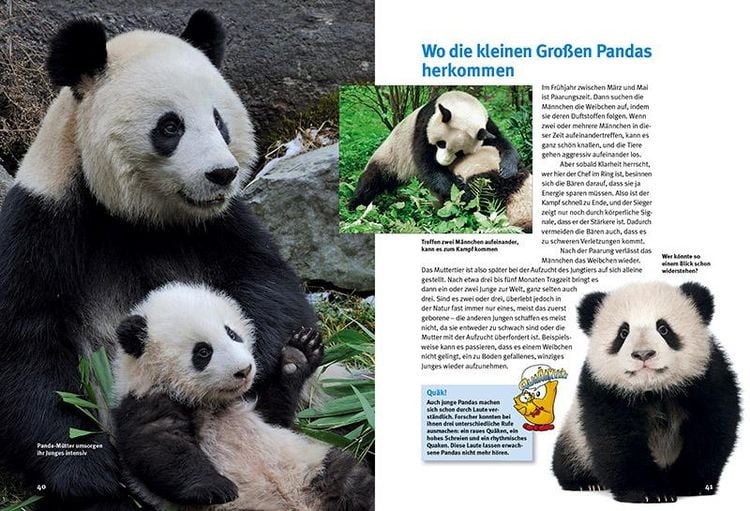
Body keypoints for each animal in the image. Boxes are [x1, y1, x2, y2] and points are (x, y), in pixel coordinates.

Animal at [0, 12, 317, 511]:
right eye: (171, 127)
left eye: (219, 121)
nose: (222, 173)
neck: (135, 215)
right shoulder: (43, 220)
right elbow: (26, 344)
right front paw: (86, 474)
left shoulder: (222, 222)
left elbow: (271, 285)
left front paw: (257, 361)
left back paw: (290, 370)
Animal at [113, 282, 374, 511]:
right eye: (203, 351)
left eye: (232, 334)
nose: (245, 370)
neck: (210, 402)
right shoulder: (146, 399)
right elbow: (161, 446)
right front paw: (216, 487)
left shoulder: (253, 405)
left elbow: (277, 415)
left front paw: (298, 354)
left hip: (314, 467)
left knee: (353, 482)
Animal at [347, 90, 520, 209]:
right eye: (441, 143)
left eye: (460, 152)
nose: (443, 162)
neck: (462, 104)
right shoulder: (424, 125)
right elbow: (429, 167)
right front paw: (467, 193)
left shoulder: (485, 124)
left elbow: (498, 140)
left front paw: (508, 169)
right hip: (390, 157)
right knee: (371, 181)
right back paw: (354, 206)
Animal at [552, 282, 740, 503]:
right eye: (623, 333)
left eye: (664, 329)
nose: (643, 354)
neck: (654, 390)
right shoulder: (605, 390)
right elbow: (617, 440)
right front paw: (649, 492)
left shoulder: (707, 379)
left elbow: (710, 431)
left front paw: (691, 484)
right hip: (575, 437)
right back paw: (585, 482)